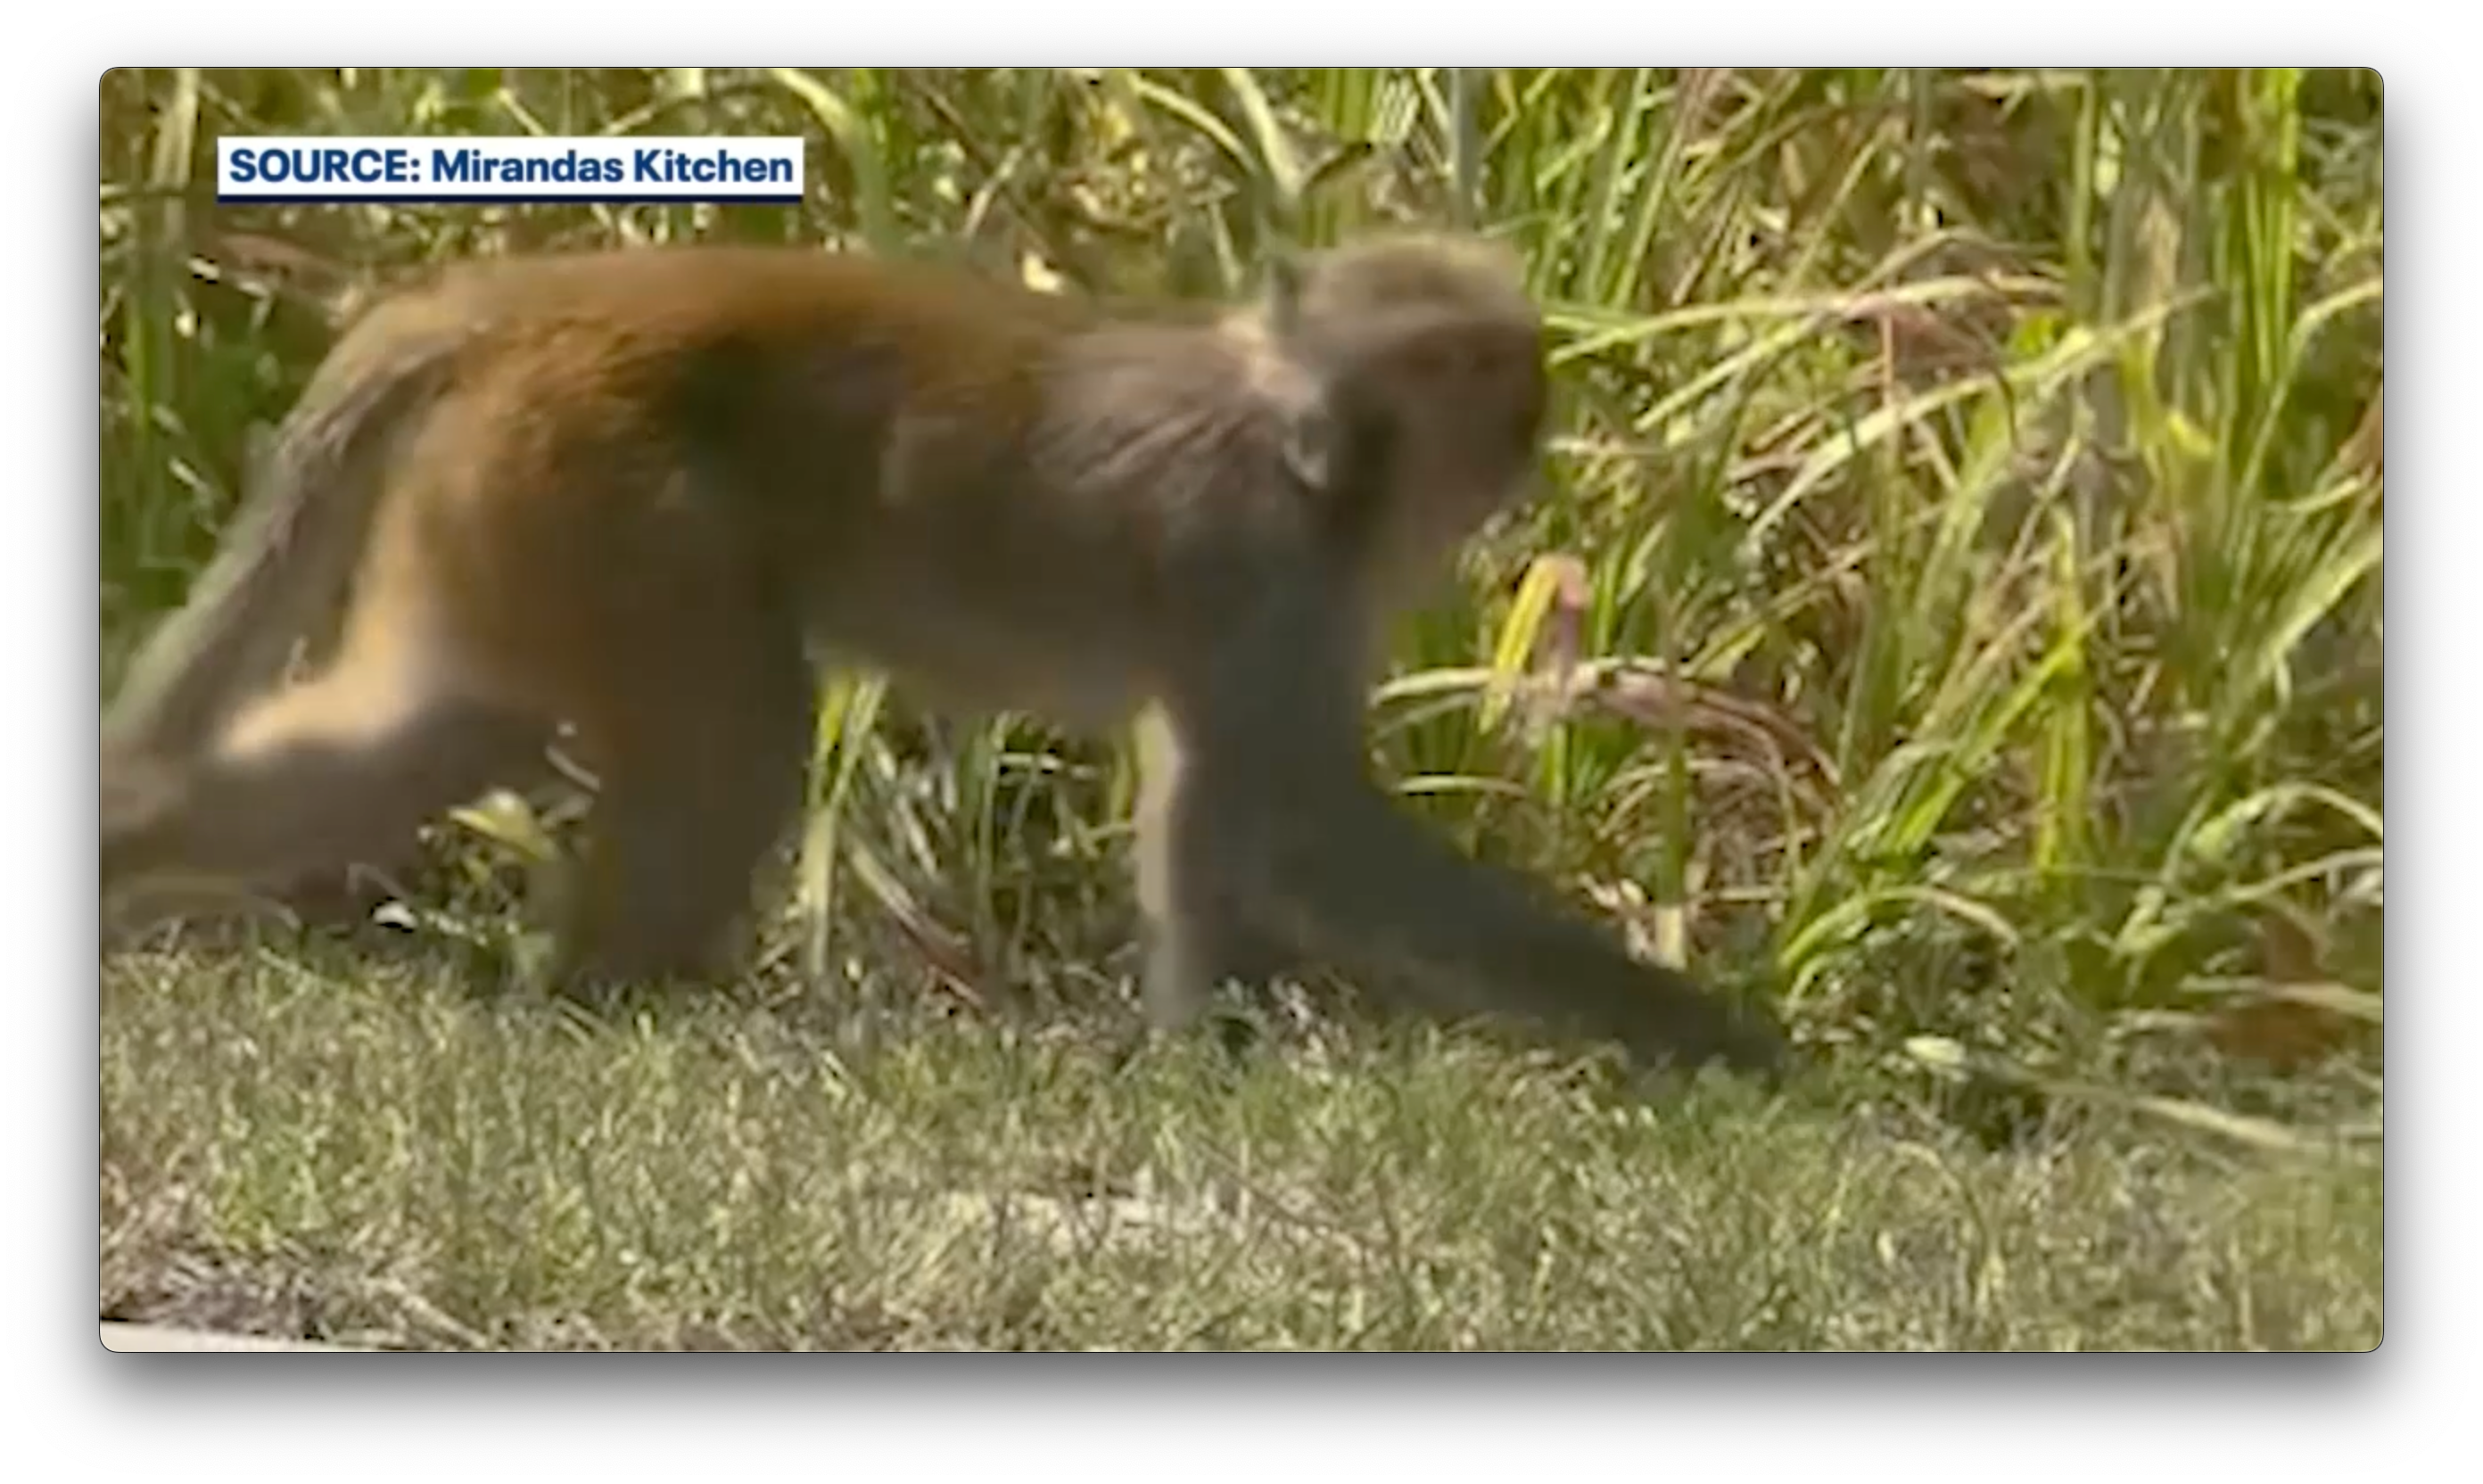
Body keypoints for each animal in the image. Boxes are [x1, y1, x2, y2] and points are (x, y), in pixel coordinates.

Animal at [96, 235, 1787, 1082]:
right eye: (1468, 377)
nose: (1527, 423)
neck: (1304, 455)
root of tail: (534, 295)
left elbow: (1211, 823)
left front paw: (1202, 1060)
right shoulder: (1267, 571)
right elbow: (1298, 828)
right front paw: (1703, 1035)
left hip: (510, 500)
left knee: (445, 727)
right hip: (601, 492)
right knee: (735, 742)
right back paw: (603, 1003)